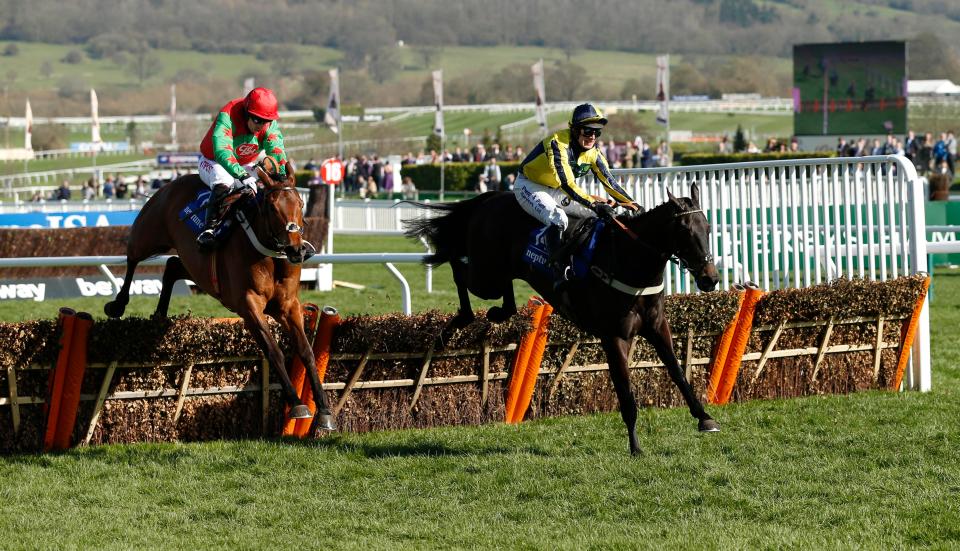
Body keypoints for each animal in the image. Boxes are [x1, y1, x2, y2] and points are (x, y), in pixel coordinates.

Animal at [104, 162, 338, 434]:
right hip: (148, 236)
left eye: (300, 204)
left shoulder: (289, 307)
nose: (296, 249)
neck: (270, 255)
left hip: (197, 268)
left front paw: (324, 411)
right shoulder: (249, 306)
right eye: (272, 207)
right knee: (132, 258)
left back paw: (160, 315)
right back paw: (118, 304)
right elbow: (273, 351)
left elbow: (306, 351)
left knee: (172, 266)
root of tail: (171, 183)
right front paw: (297, 404)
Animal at [404, 184, 720, 452]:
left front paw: (704, 418)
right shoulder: (613, 335)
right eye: (684, 230)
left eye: (707, 227)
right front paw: (635, 447)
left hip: (501, 270)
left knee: (502, 295)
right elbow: (625, 391)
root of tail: (492, 197)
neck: (628, 260)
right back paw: (457, 323)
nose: (710, 279)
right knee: (458, 267)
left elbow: (678, 372)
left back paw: (495, 312)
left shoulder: (656, 326)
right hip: (486, 275)